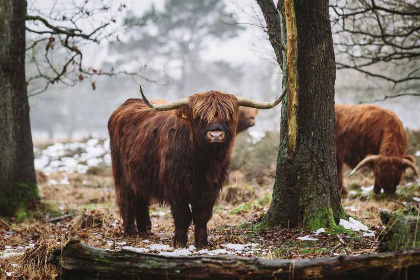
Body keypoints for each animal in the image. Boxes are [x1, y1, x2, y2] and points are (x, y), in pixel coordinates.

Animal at [108, 87, 286, 247]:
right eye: (199, 117)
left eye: (228, 116)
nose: (216, 135)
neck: (203, 162)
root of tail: (126, 104)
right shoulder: (176, 186)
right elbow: (182, 215)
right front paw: (179, 242)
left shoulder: (210, 187)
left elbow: (202, 215)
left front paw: (202, 243)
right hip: (121, 173)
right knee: (126, 199)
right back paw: (130, 231)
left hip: (140, 173)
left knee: (141, 198)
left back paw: (145, 229)